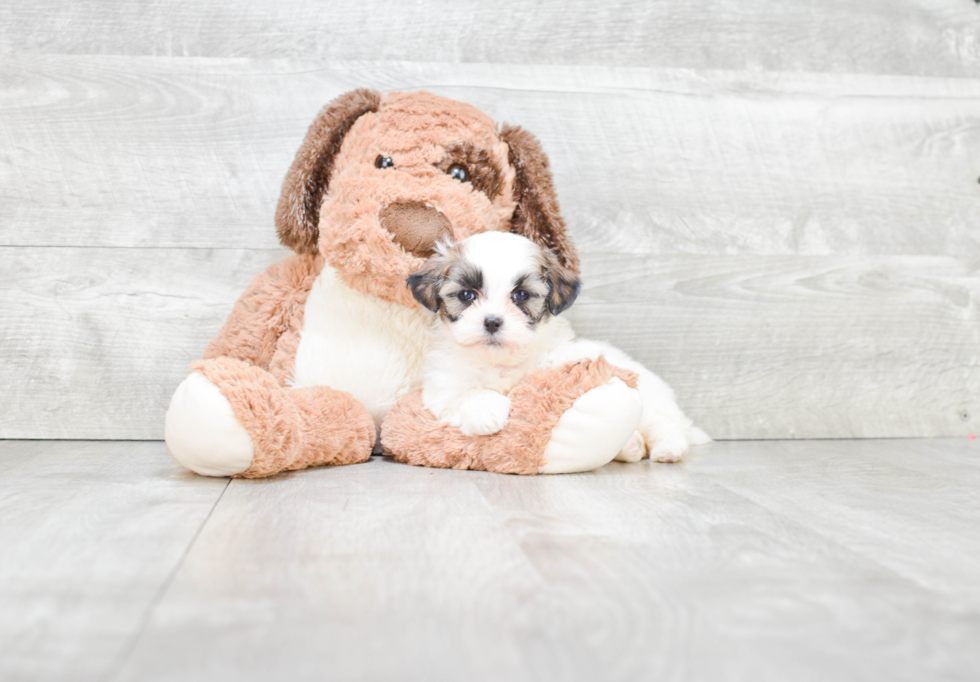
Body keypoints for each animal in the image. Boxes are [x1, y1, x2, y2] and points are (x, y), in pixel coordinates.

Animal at [406, 232, 704, 462]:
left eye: (521, 295)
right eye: (467, 295)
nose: (492, 321)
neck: (500, 361)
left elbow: (550, 357)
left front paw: (577, 353)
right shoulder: (444, 387)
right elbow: (467, 394)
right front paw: (488, 411)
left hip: (653, 403)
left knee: (666, 426)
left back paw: (668, 449)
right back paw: (631, 447)